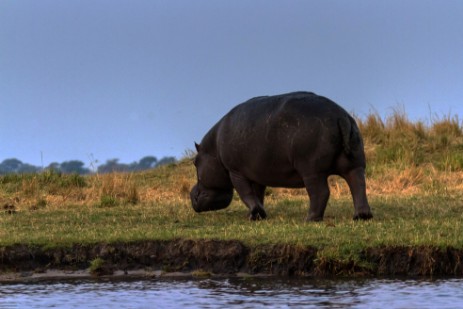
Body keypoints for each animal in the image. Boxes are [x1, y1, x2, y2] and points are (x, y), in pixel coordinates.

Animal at [190, 90, 376, 220]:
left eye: (195, 162)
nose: (192, 194)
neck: (213, 150)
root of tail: (341, 116)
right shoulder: (256, 173)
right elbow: (258, 195)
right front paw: (257, 216)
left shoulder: (235, 171)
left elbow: (246, 194)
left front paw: (254, 215)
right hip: (354, 163)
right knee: (358, 184)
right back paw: (361, 216)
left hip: (311, 170)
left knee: (321, 192)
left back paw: (310, 219)